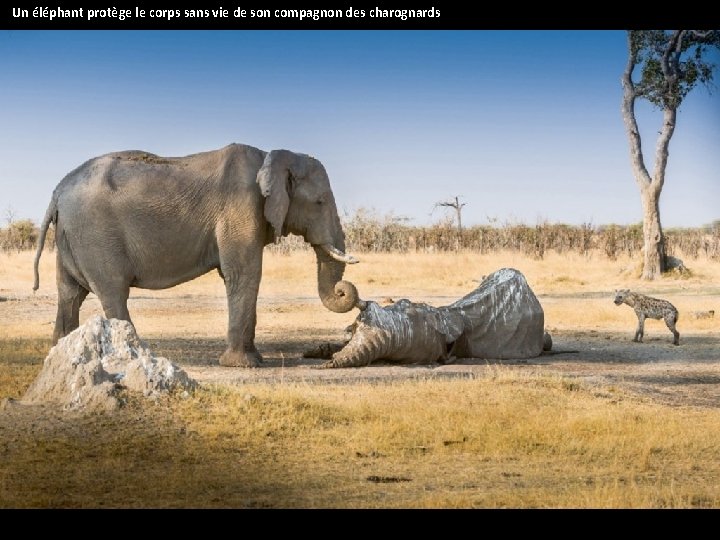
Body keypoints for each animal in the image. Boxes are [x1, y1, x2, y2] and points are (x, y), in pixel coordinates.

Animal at [33, 142, 360, 368]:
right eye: (320, 202)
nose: (344, 291)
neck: (270, 155)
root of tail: (57, 191)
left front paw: (251, 360)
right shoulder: (241, 209)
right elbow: (244, 273)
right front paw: (246, 365)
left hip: (71, 236)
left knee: (70, 294)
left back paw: (60, 357)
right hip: (95, 234)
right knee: (113, 292)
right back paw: (134, 358)